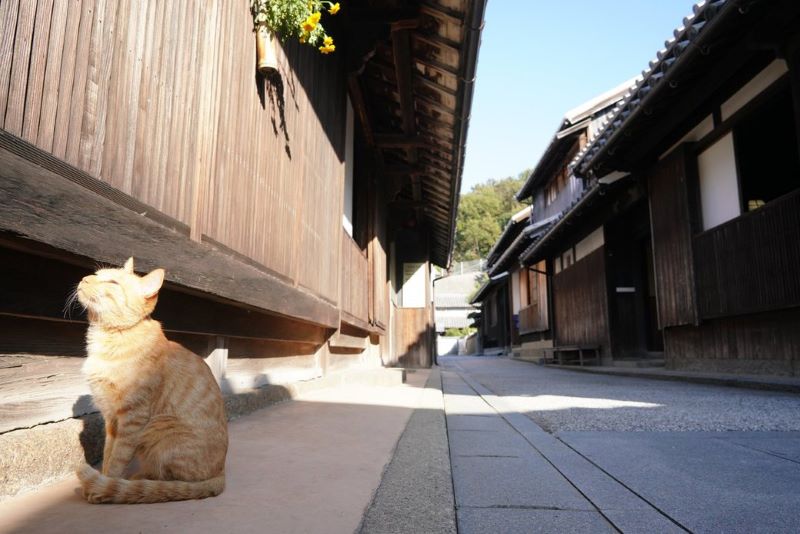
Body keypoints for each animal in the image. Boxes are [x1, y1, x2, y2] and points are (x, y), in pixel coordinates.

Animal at [74, 260, 228, 506]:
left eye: (112, 282)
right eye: (96, 275)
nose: (84, 278)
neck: (109, 339)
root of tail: (221, 473)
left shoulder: (132, 418)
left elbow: (118, 459)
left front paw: (105, 485)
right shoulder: (111, 419)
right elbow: (108, 454)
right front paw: (102, 480)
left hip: (159, 427)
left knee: (172, 481)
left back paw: (138, 481)